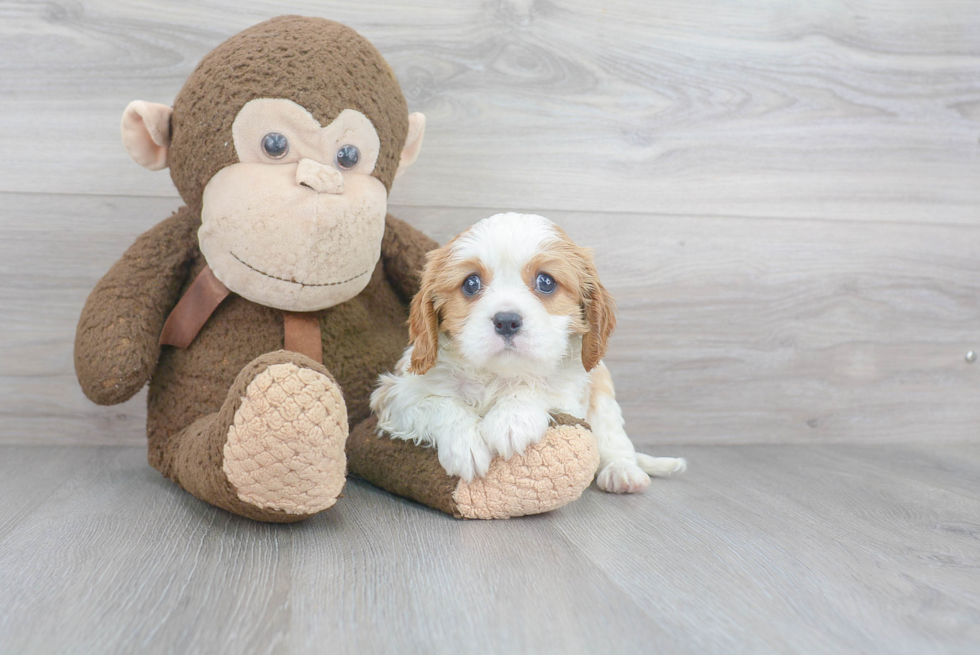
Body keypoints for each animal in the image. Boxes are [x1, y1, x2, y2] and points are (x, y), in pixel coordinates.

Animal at [372, 213, 684, 494]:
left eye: (546, 282)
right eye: (471, 283)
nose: (506, 321)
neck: (497, 375)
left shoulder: (570, 396)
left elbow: (540, 389)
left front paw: (511, 419)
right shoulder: (396, 395)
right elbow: (439, 404)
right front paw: (465, 443)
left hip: (604, 396)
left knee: (614, 440)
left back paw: (623, 471)